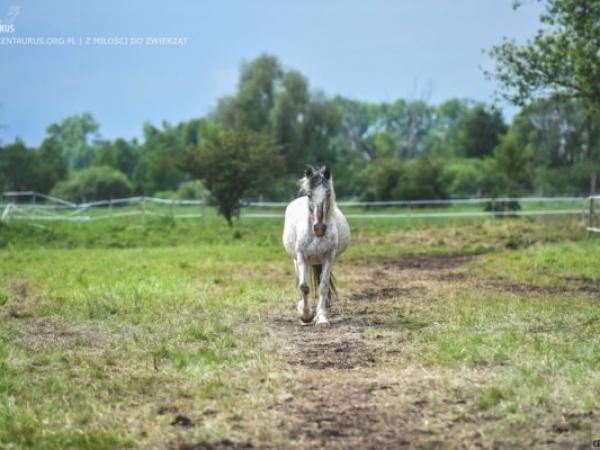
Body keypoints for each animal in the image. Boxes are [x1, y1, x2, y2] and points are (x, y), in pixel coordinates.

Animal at [282, 165, 350, 326]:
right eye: (309, 195)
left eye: (328, 193)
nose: (319, 228)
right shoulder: (301, 256)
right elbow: (304, 287)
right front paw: (306, 316)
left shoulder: (328, 257)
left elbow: (323, 286)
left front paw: (322, 318)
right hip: (299, 261)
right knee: (302, 283)